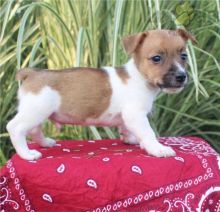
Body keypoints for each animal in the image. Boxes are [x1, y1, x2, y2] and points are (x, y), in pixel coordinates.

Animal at [6, 29, 196, 160]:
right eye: (156, 58)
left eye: (184, 56)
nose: (181, 76)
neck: (139, 77)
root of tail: (31, 73)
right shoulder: (136, 115)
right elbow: (148, 132)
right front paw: (158, 149)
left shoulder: (128, 117)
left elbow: (126, 129)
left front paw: (131, 139)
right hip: (35, 111)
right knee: (15, 128)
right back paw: (27, 154)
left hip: (37, 112)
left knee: (34, 130)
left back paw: (45, 142)